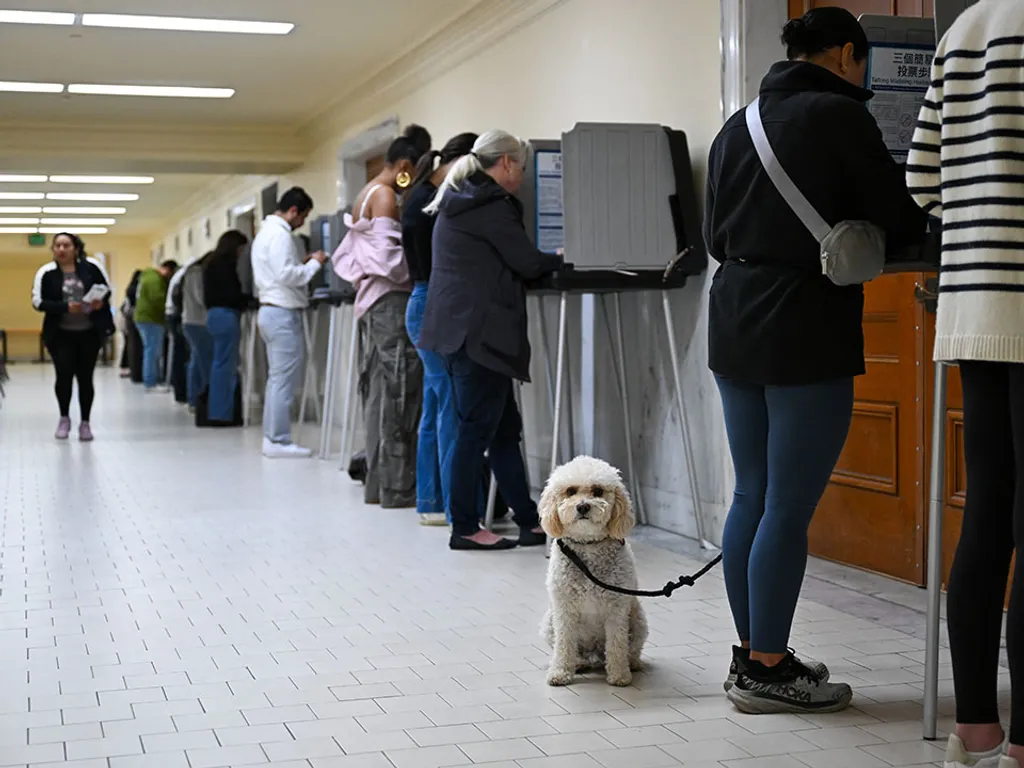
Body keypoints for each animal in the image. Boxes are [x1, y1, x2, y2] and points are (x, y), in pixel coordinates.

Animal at [540, 456, 643, 692]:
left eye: (597, 491)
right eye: (570, 491)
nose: (583, 506)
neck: (588, 547)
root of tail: (594, 652)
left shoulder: (616, 609)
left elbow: (616, 645)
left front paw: (619, 675)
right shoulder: (564, 610)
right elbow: (564, 644)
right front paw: (560, 672)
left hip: (638, 621)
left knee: (630, 649)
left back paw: (632, 663)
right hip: (549, 623)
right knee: (572, 650)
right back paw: (577, 663)